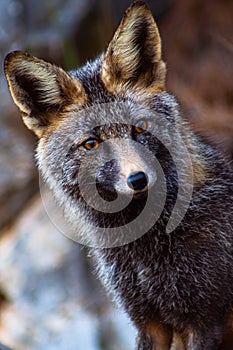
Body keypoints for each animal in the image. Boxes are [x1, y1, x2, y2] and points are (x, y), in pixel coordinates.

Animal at [3, 1, 233, 348]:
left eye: (139, 128)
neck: (144, 251)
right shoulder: (147, 321)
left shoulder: (204, 320)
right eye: (91, 143)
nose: (138, 179)